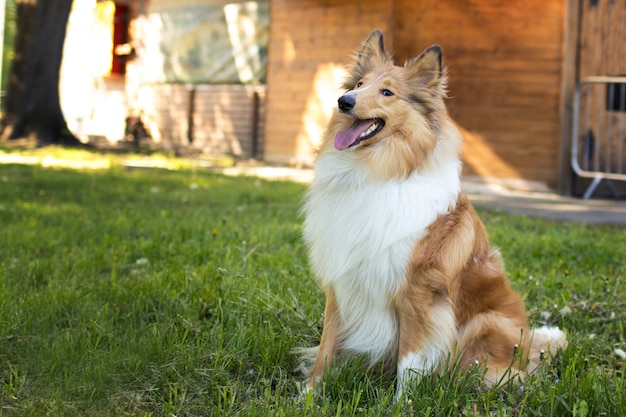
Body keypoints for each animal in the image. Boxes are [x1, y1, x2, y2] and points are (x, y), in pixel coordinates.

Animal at [298, 30, 564, 396]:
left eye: (387, 92)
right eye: (360, 83)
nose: (344, 101)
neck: (377, 172)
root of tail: (528, 354)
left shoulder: (419, 292)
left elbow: (409, 359)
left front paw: (401, 402)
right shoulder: (342, 282)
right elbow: (327, 344)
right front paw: (309, 395)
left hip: (486, 320)